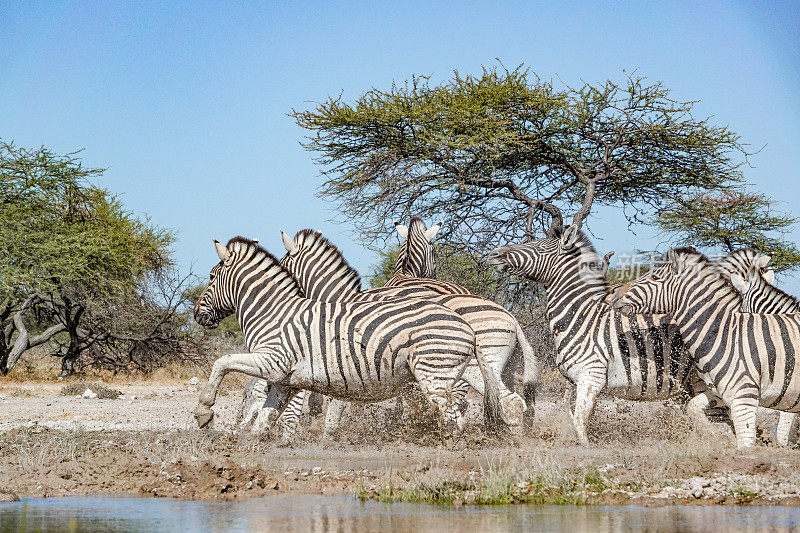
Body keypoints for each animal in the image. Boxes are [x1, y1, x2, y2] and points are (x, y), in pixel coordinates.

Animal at [193, 237, 504, 436]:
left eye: (211, 276)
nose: (197, 314)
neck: (274, 312)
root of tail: (467, 325)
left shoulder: (274, 361)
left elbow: (222, 362)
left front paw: (204, 411)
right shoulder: (287, 378)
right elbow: (266, 419)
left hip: (436, 375)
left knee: (454, 417)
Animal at [484, 225, 728, 444]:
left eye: (539, 247)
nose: (493, 254)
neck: (582, 317)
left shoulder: (591, 375)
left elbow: (580, 420)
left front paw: (585, 451)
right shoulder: (574, 381)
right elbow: (575, 415)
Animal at [612, 247, 800, 446]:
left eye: (655, 277)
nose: (615, 295)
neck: (725, 334)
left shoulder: (744, 397)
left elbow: (750, 442)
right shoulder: (718, 392)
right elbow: (695, 408)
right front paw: (716, 436)